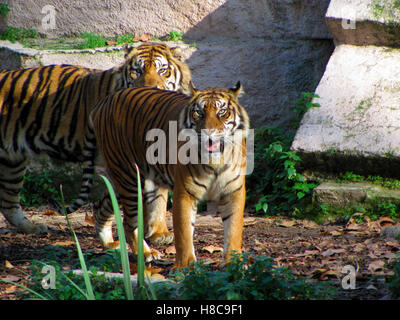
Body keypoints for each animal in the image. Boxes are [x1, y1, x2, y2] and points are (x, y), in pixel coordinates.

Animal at [0, 42, 192, 235]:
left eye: (162, 70)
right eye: (137, 71)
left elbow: (157, 197)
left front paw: (158, 232)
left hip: (13, 161)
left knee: (9, 201)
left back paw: (32, 227)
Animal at [81, 82, 250, 268]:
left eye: (222, 112)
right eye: (199, 112)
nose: (208, 132)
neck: (216, 161)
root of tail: (103, 102)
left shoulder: (233, 192)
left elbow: (233, 229)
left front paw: (233, 262)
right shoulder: (184, 193)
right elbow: (184, 232)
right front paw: (185, 266)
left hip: (124, 179)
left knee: (101, 206)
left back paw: (109, 243)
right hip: (128, 176)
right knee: (129, 222)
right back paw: (146, 253)